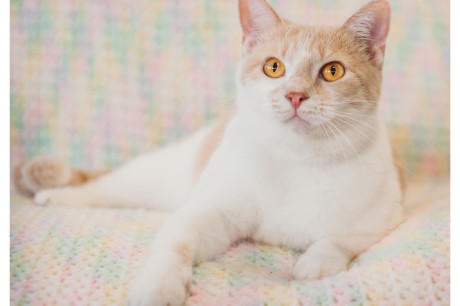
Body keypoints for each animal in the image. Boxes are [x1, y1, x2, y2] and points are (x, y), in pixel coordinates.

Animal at [13, 0, 406, 304]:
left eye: (333, 71)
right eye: (274, 67)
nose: (294, 95)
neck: (297, 158)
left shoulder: (383, 219)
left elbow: (338, 241)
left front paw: (315, 263)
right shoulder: (207, 213)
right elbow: (174, 246)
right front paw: (158, 287)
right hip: (149, 179)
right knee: (102, 189)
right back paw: (58, 195)